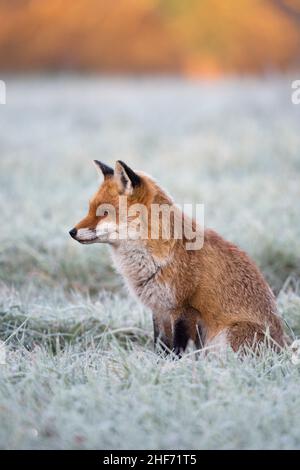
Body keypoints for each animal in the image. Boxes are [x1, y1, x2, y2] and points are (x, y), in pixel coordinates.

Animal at [70, 160, 286, 354]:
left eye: (103, 212)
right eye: (89, 209)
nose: (71, 232)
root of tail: (283, 348)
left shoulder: (184, 310)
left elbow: (178, 350)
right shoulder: (160, 310)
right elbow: (161, 346)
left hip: (229, 336)